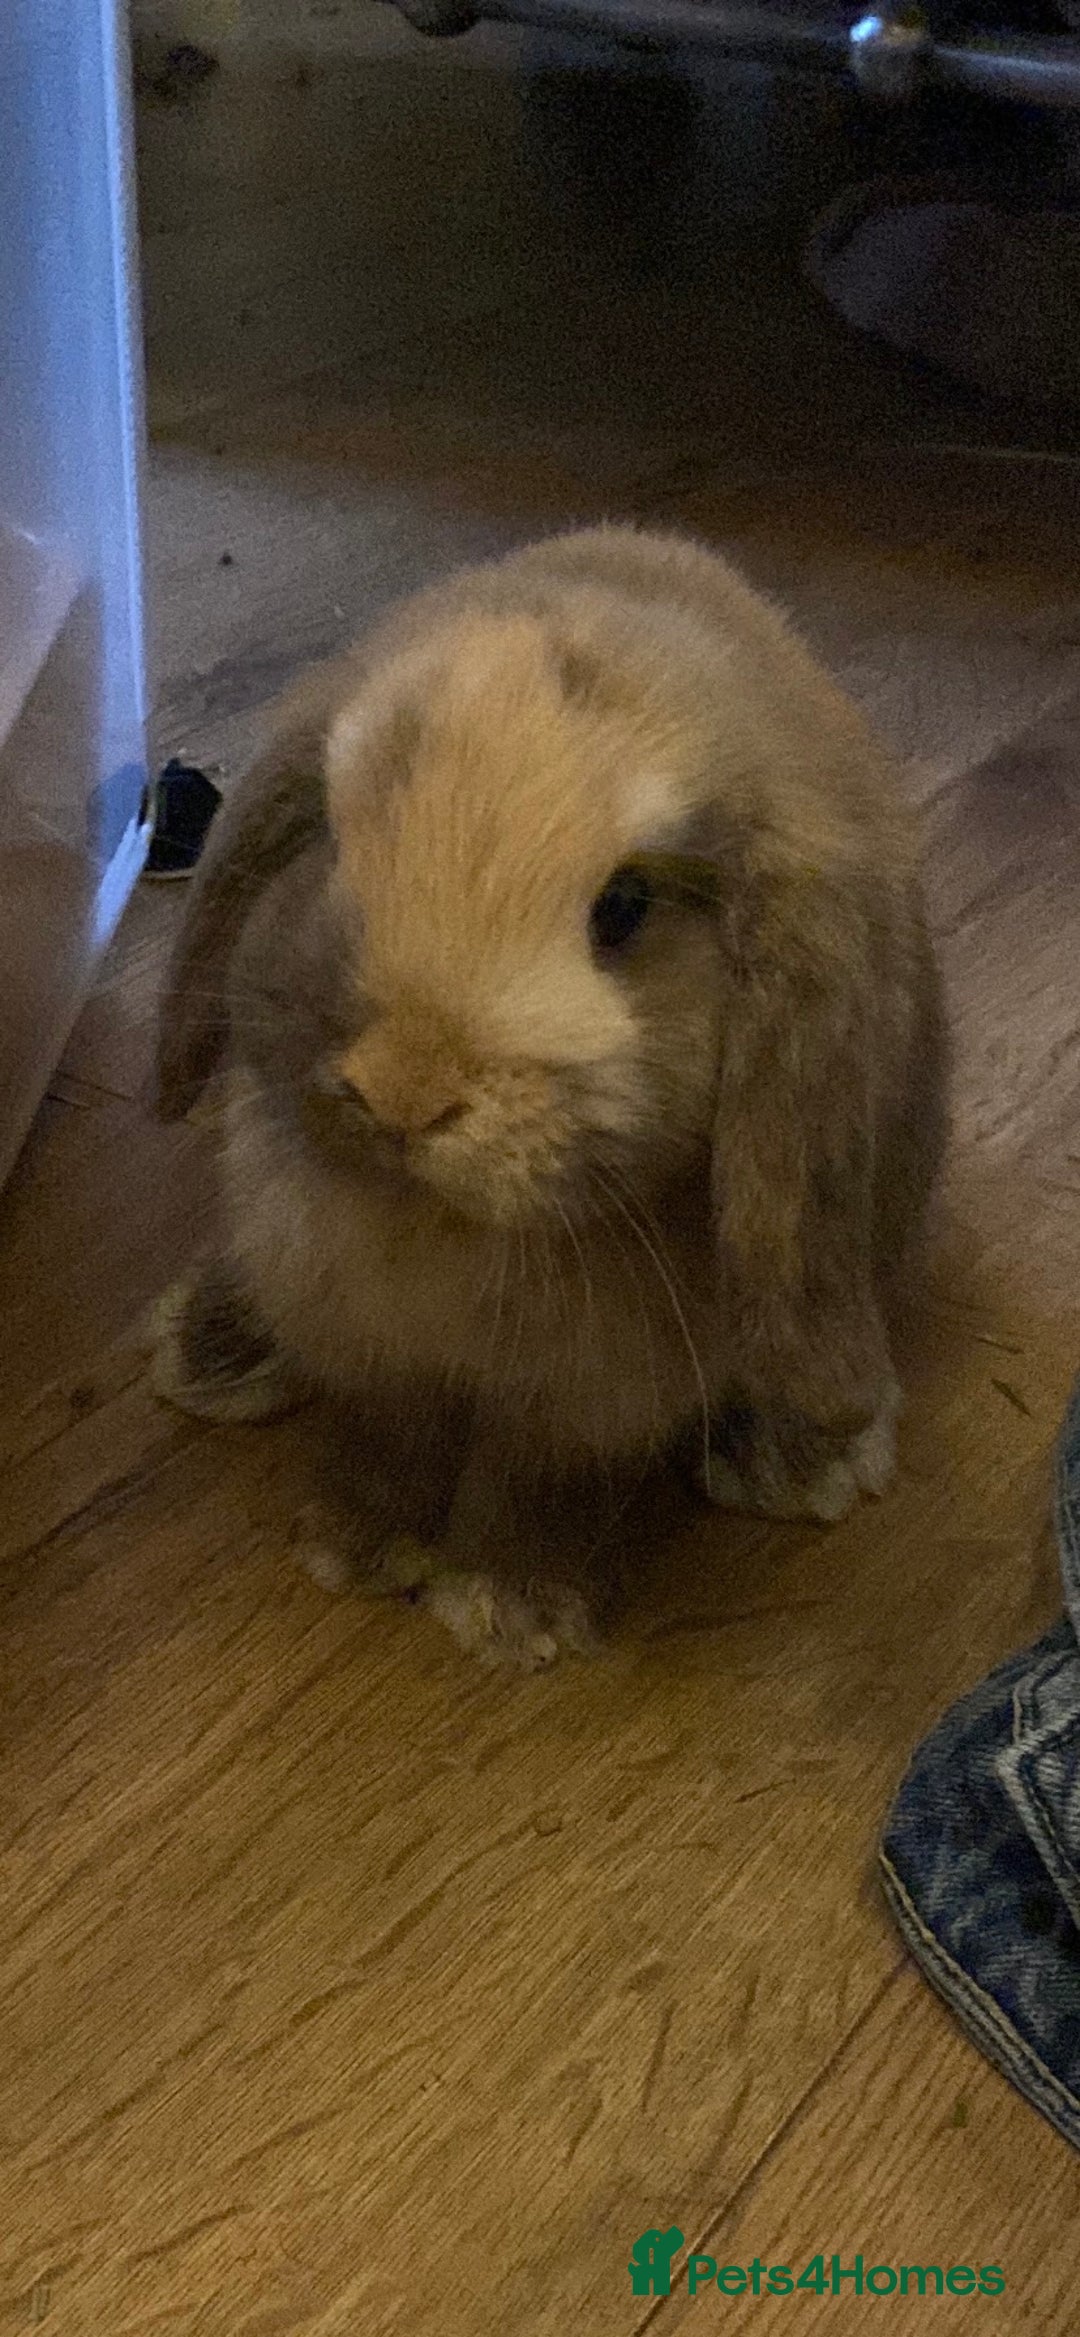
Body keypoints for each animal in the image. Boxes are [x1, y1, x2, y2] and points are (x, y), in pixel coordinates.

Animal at [153, 524, 947, 1667]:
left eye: (624, 906)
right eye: (336, 844)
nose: (404, 1091)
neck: (442, 1232)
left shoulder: (587, 1404)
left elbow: (543, 1482)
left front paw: (512, 1611)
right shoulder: (366, 1342)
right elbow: (388, 1437)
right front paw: (355, 1547)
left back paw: (806, 1453)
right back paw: (213, 1346)